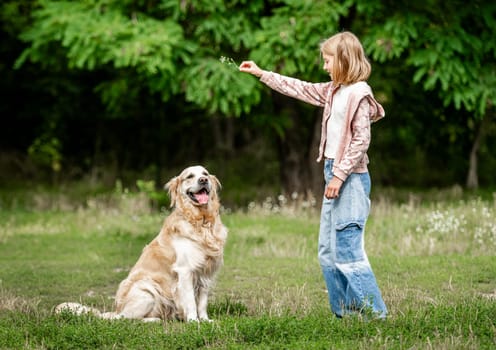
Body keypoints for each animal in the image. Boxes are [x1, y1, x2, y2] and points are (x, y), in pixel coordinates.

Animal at [56, 165, 229, 322]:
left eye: (205, 173)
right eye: (190, 176)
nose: (203, 180)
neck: (202, 222)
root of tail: (117, 309)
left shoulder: (206, 272)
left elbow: (202, 302)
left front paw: (205, 320)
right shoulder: (185, 270)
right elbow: (191, 301)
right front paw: (194, 321)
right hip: (146, 290)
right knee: (123, 319)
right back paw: (152, 320)